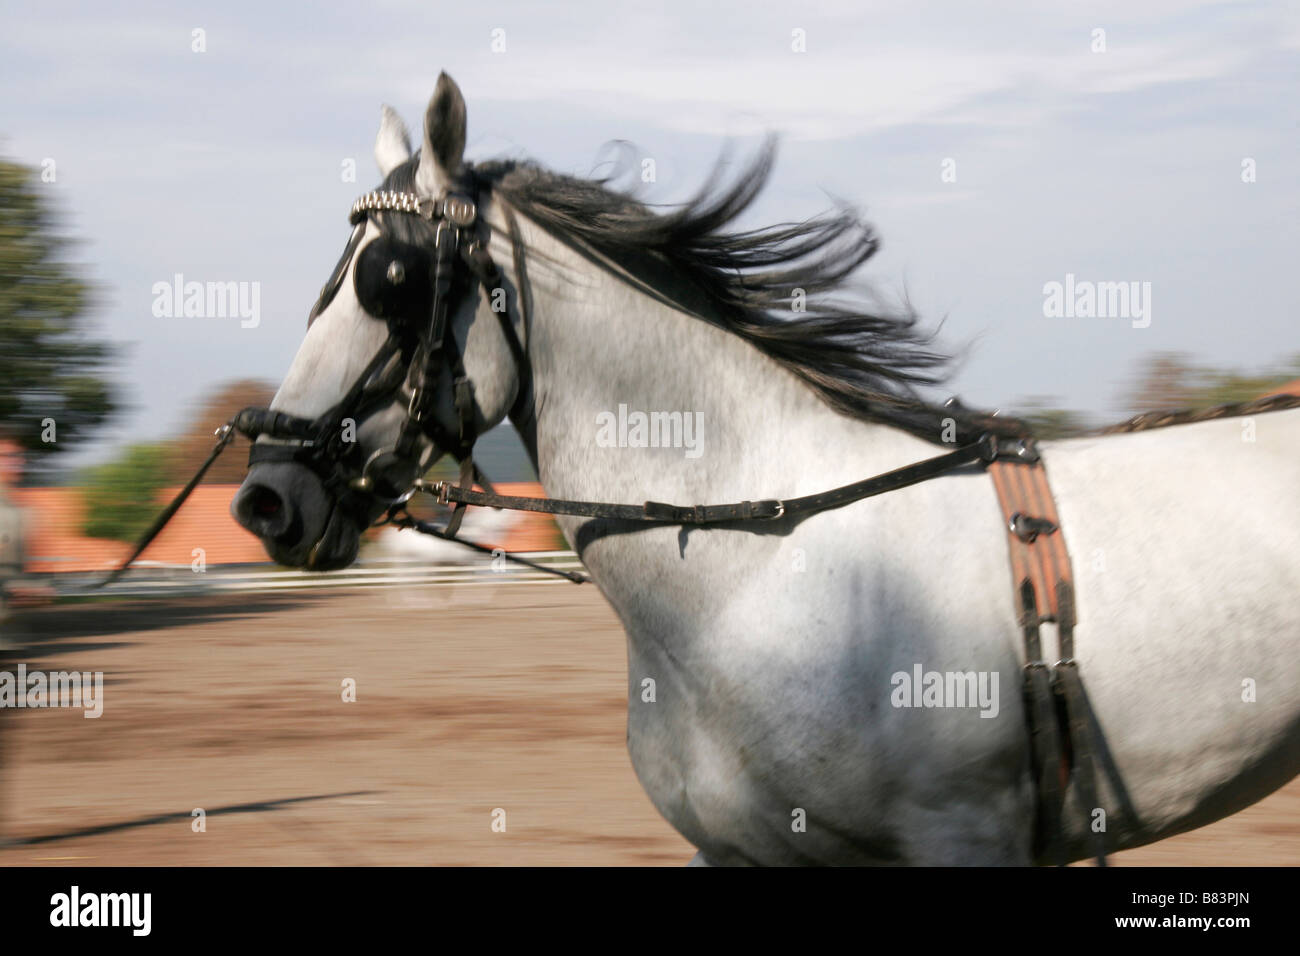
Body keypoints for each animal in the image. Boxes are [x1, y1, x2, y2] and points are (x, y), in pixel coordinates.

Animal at [230, 73, 1300, 865]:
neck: (764, 573)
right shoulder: (739, 852)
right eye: (335, 277)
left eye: (392, 279)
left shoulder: (965, 836)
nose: (268, 496)